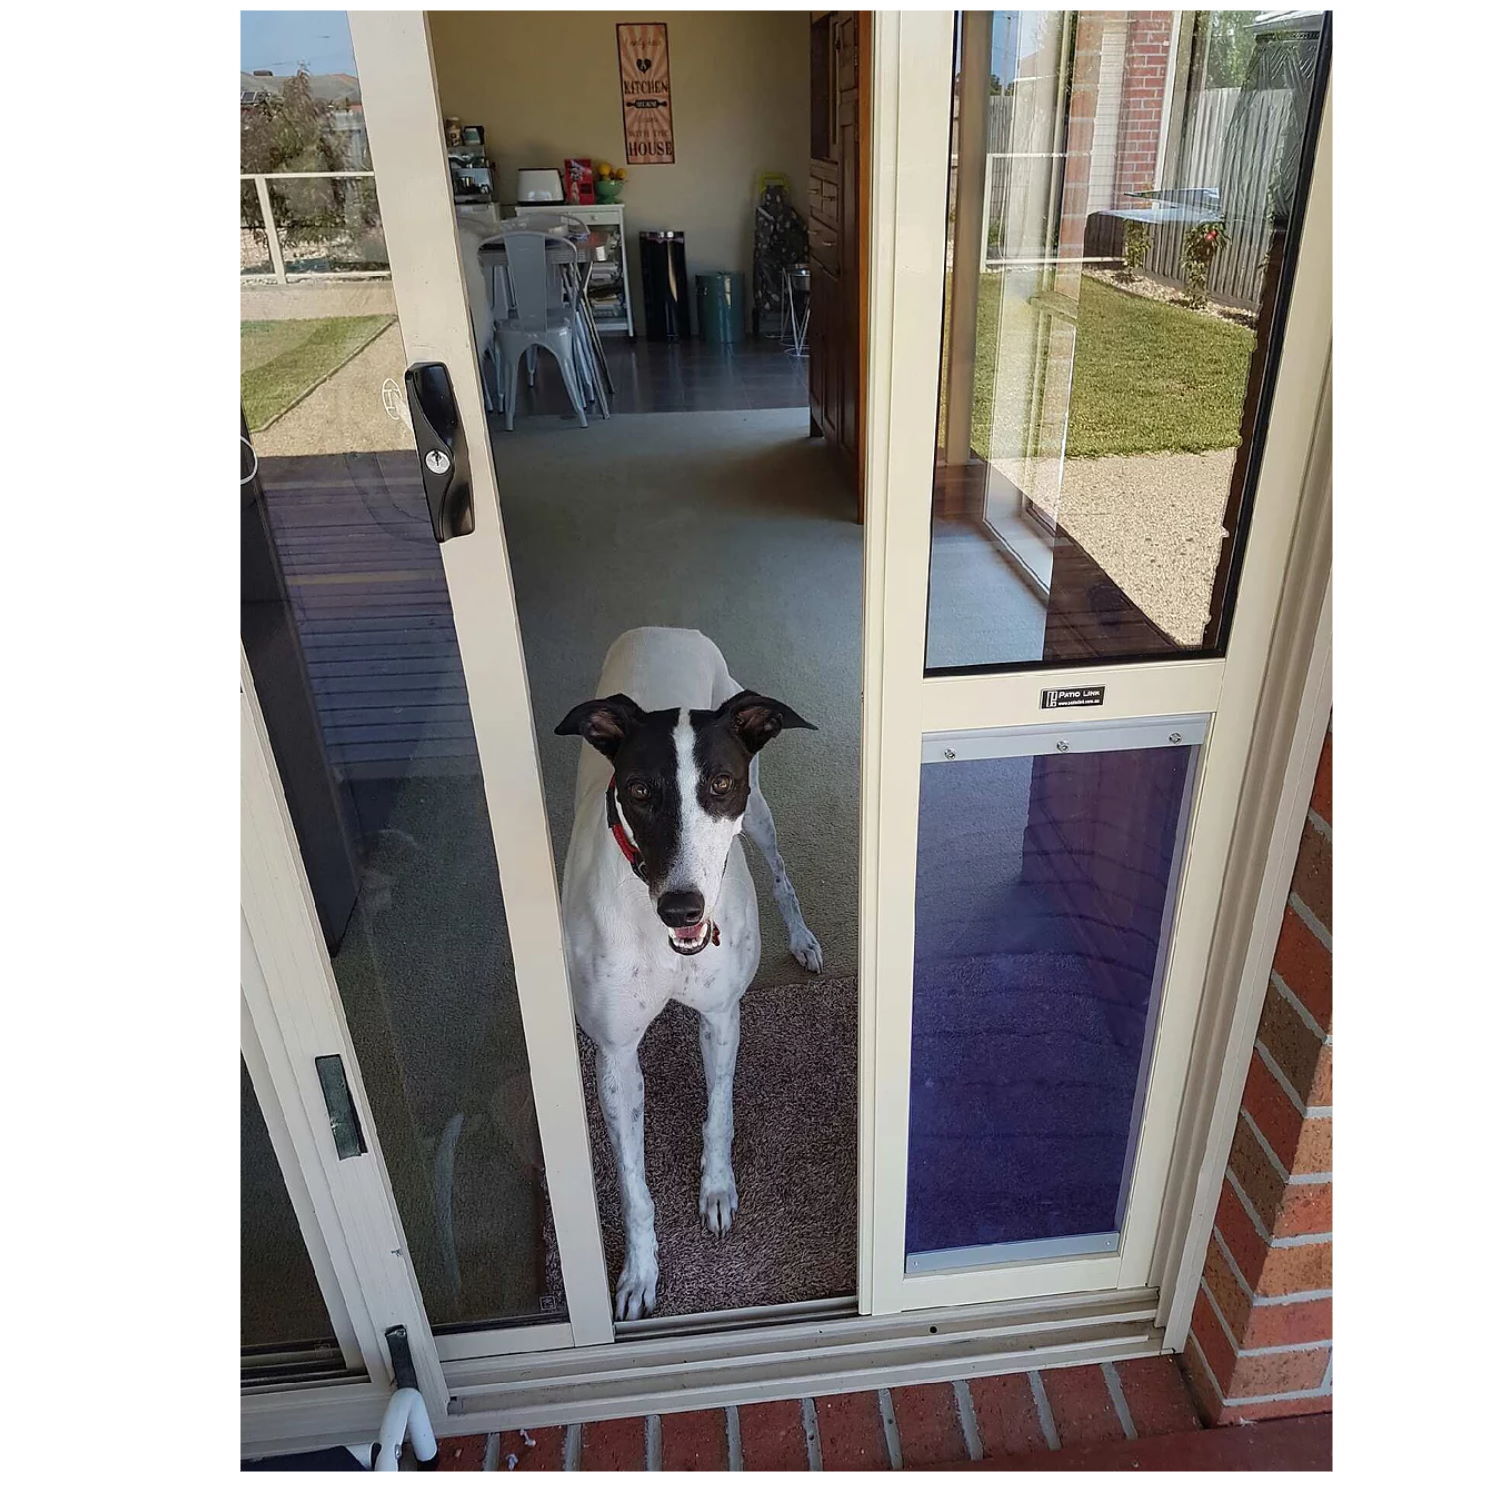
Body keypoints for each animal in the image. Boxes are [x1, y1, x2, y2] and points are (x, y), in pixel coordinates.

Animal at [558, 627, 828, 1320]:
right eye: (638, 790)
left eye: (721, 782)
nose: (683, 908)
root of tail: (664, 628)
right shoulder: (615, 1057)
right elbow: (632, 1186)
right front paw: (639, 1273)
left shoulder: (722, 1015)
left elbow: (721, 1109)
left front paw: (717, 1190)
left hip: (761, 816)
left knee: (781, 873)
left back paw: (804, 939)